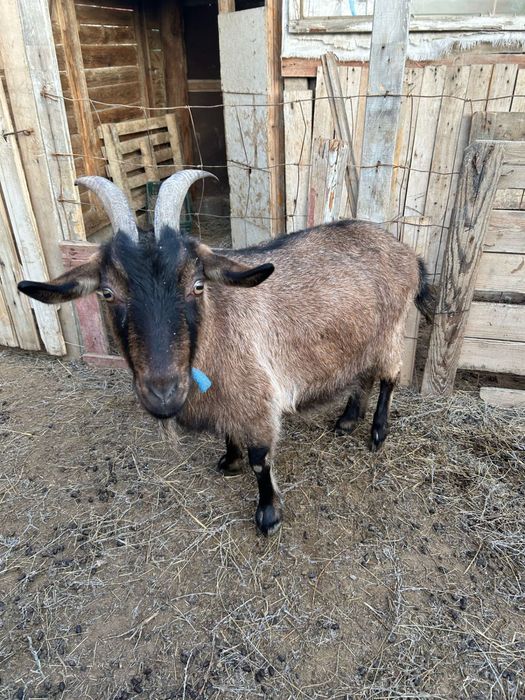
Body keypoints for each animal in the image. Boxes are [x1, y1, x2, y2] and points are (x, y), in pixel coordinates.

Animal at [18, 170, 433, 536]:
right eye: (107, 292)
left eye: (197, 285)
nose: (163, 391)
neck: (214, 333)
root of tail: (408, 253)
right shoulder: (230, 399)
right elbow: (230, 435)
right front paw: (229, 460)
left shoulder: (258, 401)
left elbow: (260, 460)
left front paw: (268, 515)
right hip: (362, 336)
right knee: (362, 374)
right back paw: (347, 419)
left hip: (391, 330)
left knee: (389, 377)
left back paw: (377, 432)